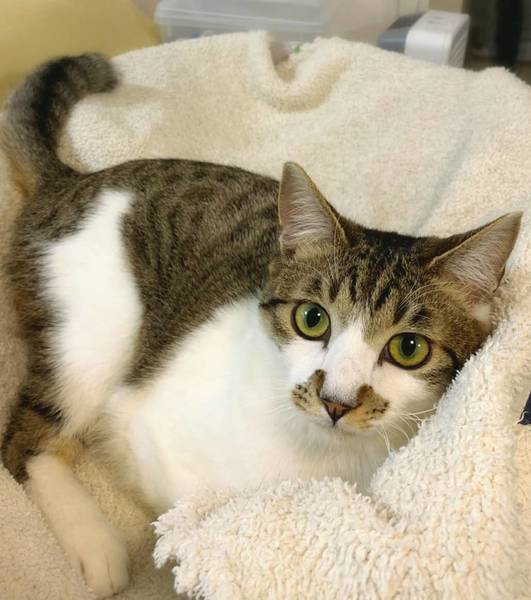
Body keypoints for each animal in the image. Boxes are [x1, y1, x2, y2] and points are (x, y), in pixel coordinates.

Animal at [0, 54, 521, 598]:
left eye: (409, 349)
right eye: (312, 319)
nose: (336, 400)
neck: (313, 454)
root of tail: (73, 180)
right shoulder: (142, 427)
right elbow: (175, 504)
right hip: (95, 332)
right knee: (24, 443)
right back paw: (92, 540)